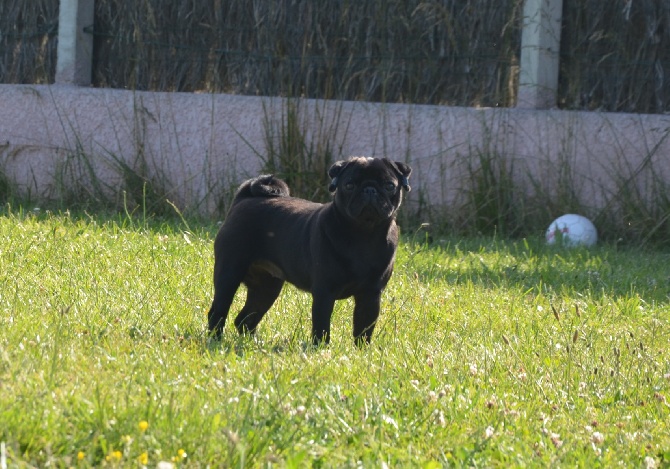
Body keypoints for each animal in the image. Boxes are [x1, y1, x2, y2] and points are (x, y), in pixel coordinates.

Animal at [207, 156, 412, 344]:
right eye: (349, 185)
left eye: (389, 186)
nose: (369, 189)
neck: (364, 234)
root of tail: (245, 198)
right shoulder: (324, 293)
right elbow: (321, 327)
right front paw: (321, 349)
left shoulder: (370, 295)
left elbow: (364, 329)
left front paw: (361, 352)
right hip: (229, 274)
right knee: (218, 311)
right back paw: (216, 340)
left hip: (267, 287)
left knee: (246, 318)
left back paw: (254, 343)